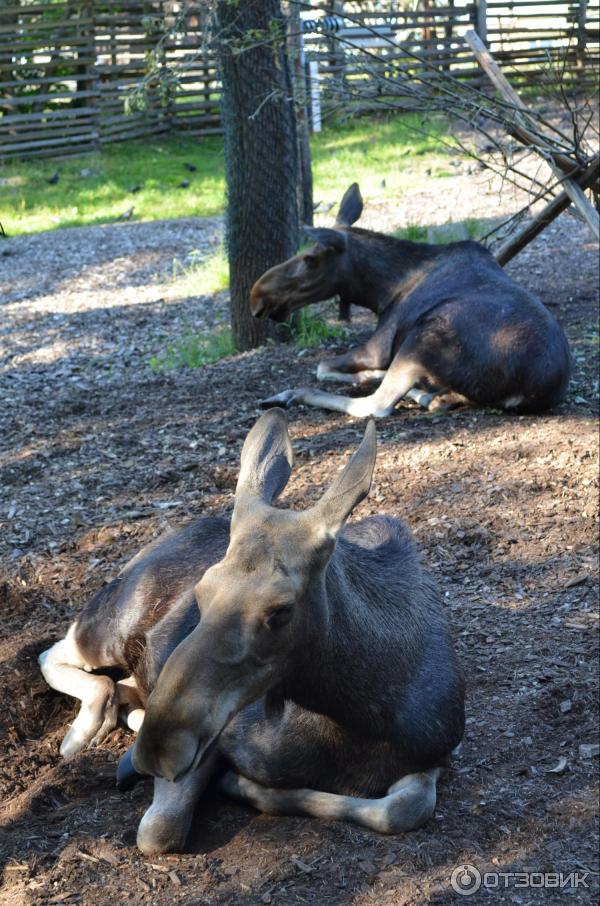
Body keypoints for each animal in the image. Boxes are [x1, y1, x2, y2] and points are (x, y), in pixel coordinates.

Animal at [39, 410, 466, 856]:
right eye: (201, 591)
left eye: (280, 611)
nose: (160, 748)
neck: (361, 719)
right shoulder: (212, 741)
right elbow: (159, 831)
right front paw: (239, 783)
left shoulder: (440, 751)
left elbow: (403, 808)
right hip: (111, 626)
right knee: (56, 652)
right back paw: (84, 732)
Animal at [253, 184, 572, 416]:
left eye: (310, 259)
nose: (257, 295)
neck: (381, 292)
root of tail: (528, 390)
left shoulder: (377, 347)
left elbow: (322, 368)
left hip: (421, 336)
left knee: (376, 406)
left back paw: (291, 394)